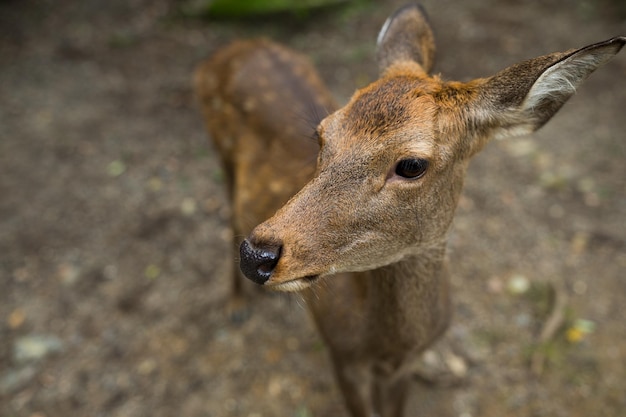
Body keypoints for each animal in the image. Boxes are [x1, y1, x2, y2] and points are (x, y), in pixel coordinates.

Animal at [193, 4, 620, 416]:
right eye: (322, 134)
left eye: (412, 165)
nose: (257, 256)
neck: (389, 345)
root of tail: (233, 47)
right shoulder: (340, 354)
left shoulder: (401, 368)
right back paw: (235, 306)